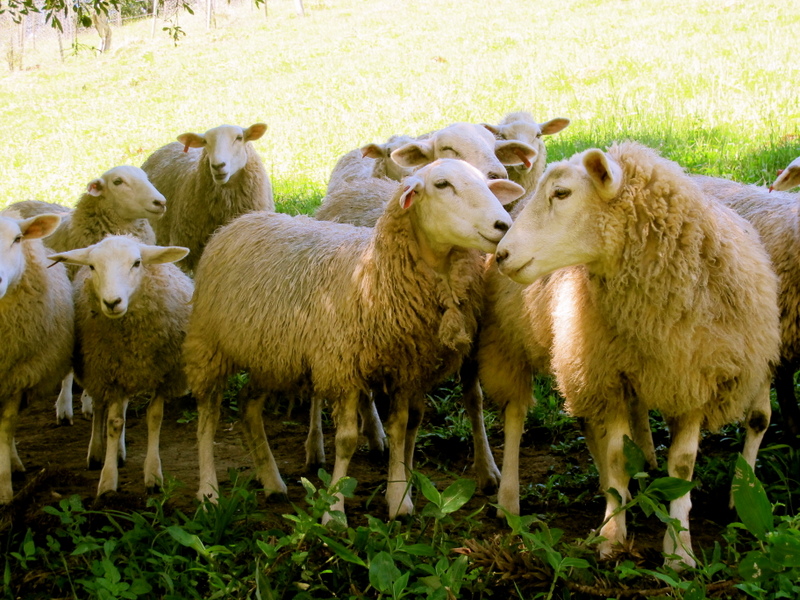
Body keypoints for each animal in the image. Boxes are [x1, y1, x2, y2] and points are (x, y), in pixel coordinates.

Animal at [6, 165, 167, 425]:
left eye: (146, 177)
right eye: (118, 181)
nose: (160, 202)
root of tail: (23, 200)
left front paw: (88, 400)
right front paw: (66, 405)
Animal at [48, 235, 193, 496]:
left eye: (137, 263)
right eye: (93, 266)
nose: (112, 302)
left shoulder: (163, 375)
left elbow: (154, 417)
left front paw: (153, 475)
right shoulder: (111, 373)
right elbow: (113, 423)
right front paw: (108, 481)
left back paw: (119, 453)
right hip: (97, 372)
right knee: (99, 408)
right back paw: (97, 453)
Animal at [183, 158, 523, 519]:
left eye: (487, 183)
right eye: (442, 184)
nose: (503, 225)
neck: (377, 273)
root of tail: (239, 222)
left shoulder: (405, 368)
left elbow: (400, 428)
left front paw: (399, 499)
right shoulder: (343, 367)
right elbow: (346, 440)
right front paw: (333, 511)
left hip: (270, 356)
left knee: (248, 405)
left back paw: (272, 481)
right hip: (208, 345)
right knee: (208, 417)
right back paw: (209, 492)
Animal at [480, 141, 780, 569]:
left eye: (561, 193)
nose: (503, 254)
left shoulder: (693, 378)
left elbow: (682, 465)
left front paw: (679, 550)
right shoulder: (608, 375)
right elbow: (619, 455)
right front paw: (612, 534)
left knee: (595, 421)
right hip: (513, 342)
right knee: (516, 416)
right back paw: (510, 500)